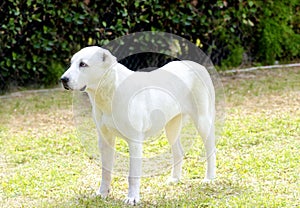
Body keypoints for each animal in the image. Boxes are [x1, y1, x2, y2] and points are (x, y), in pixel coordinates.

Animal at [61, 46, 216, 205]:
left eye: (83, 64)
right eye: (71, 63)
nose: (63, 79)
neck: (110, 91)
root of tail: (199, 66)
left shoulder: (135, 142)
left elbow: (133, 175)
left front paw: (132, 198)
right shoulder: (105, 140)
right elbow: (105, 171)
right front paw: (102, 193)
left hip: (203, 121)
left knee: (211, 150)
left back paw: (209, 178)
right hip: (171, 126)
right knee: (178, 151)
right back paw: (174, 179)